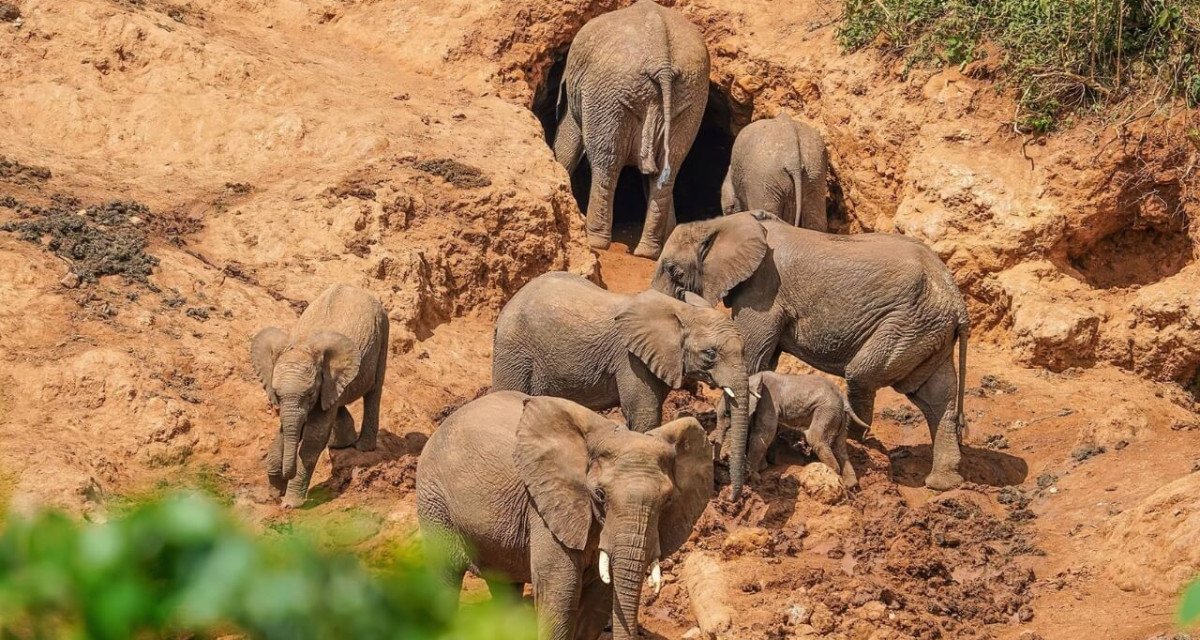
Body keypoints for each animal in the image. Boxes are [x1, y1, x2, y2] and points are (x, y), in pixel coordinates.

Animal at [250, 284, 388, 508]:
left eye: (310, 393)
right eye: (276, 394)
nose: (284, 477)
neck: (303, 345)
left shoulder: (327, 381)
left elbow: (314, 437)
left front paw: (290, 503)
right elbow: (286, 429)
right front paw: (274, 493)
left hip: (384, 328)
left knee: (374, 391)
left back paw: (362, 447)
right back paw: (340, 444)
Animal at [416, 392, 712, 640]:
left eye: (668, 500)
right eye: (600, 495)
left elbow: (597, 601)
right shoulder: (545, 506)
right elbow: (560, 594)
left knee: (504, 585)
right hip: (433, 498)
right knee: (446, 576)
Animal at [492, 271, 753, 497]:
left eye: (744, 350)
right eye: (710, 354)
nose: (732, 496)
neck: (683, 311)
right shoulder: (630, 359)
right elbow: (644, 413)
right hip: (514, 351)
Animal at [553, 0, 710, 259]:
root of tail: (662, 61)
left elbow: (568, 140)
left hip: (608, 93)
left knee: (606, 163)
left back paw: (596, 242)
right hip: (691, 95)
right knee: (669, 169)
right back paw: (648, 252)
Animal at [715, 372, 866, 489]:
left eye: (727, 413)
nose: (723, 458)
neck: (752, 378)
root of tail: (843, 399)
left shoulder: (768, 401)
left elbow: (763, 434)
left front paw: (754, 477)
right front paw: (762, 468)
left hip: (827, 411)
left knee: (817, 440)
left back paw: (832, 473)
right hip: (840, 417)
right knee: (840, 448)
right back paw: (850, 485)